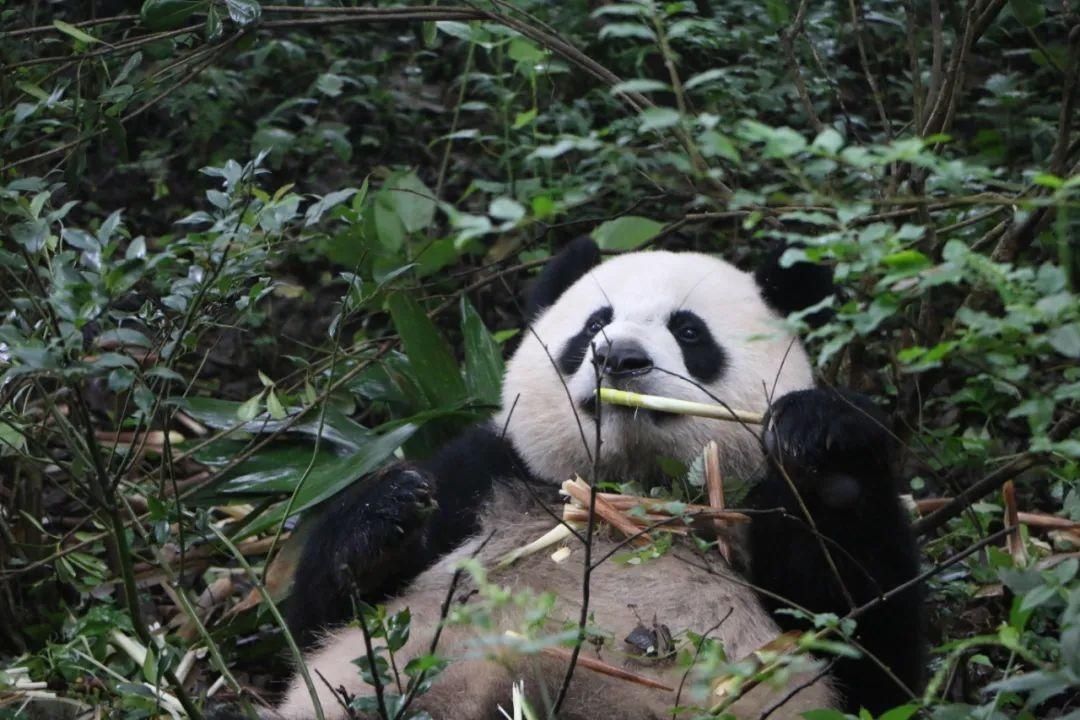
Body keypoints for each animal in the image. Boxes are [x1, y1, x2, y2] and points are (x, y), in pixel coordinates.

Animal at [230, 239, 928, 716]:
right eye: (594, 323)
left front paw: (825, 443)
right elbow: (308, 625)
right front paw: (389, 515)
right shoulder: (492, 475)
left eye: (688, 330)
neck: (630, 489)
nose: (619, 358)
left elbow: (873, 650)